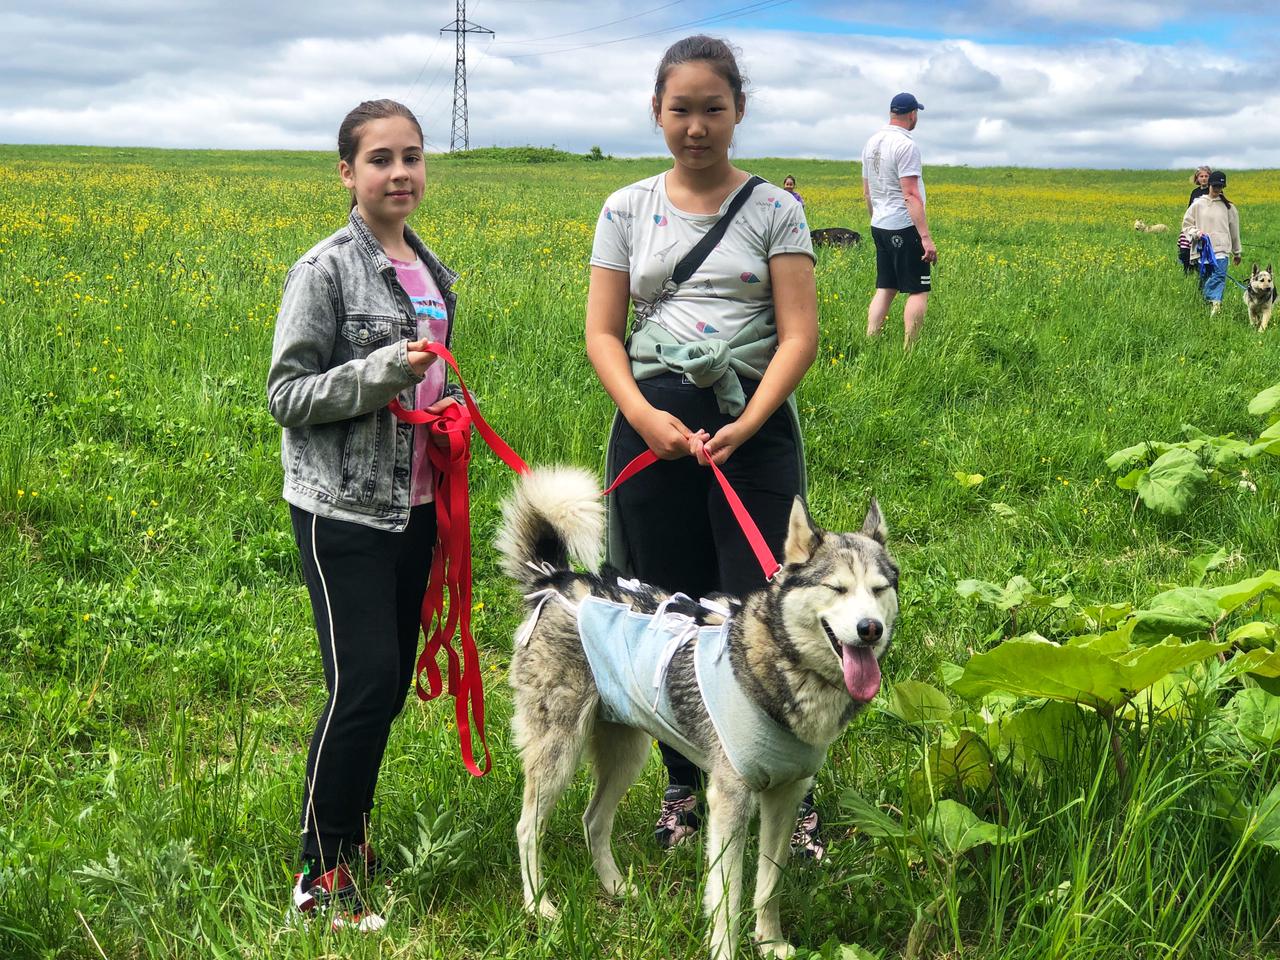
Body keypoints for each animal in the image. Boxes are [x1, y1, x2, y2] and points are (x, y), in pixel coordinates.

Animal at [494, 463, 896, 957]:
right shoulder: (730, 801)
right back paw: (540, 906)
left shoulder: (785, 798)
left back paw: (615, 886)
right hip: (559, 755)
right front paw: (726, 949)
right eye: (836, 588)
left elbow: (769, 883)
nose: (870, 629)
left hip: (626, 756)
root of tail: (555, 580)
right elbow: (729, 893)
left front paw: (771, 943)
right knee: (527, 828)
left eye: (879, 589)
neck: (777, 666)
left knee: (593, 821)